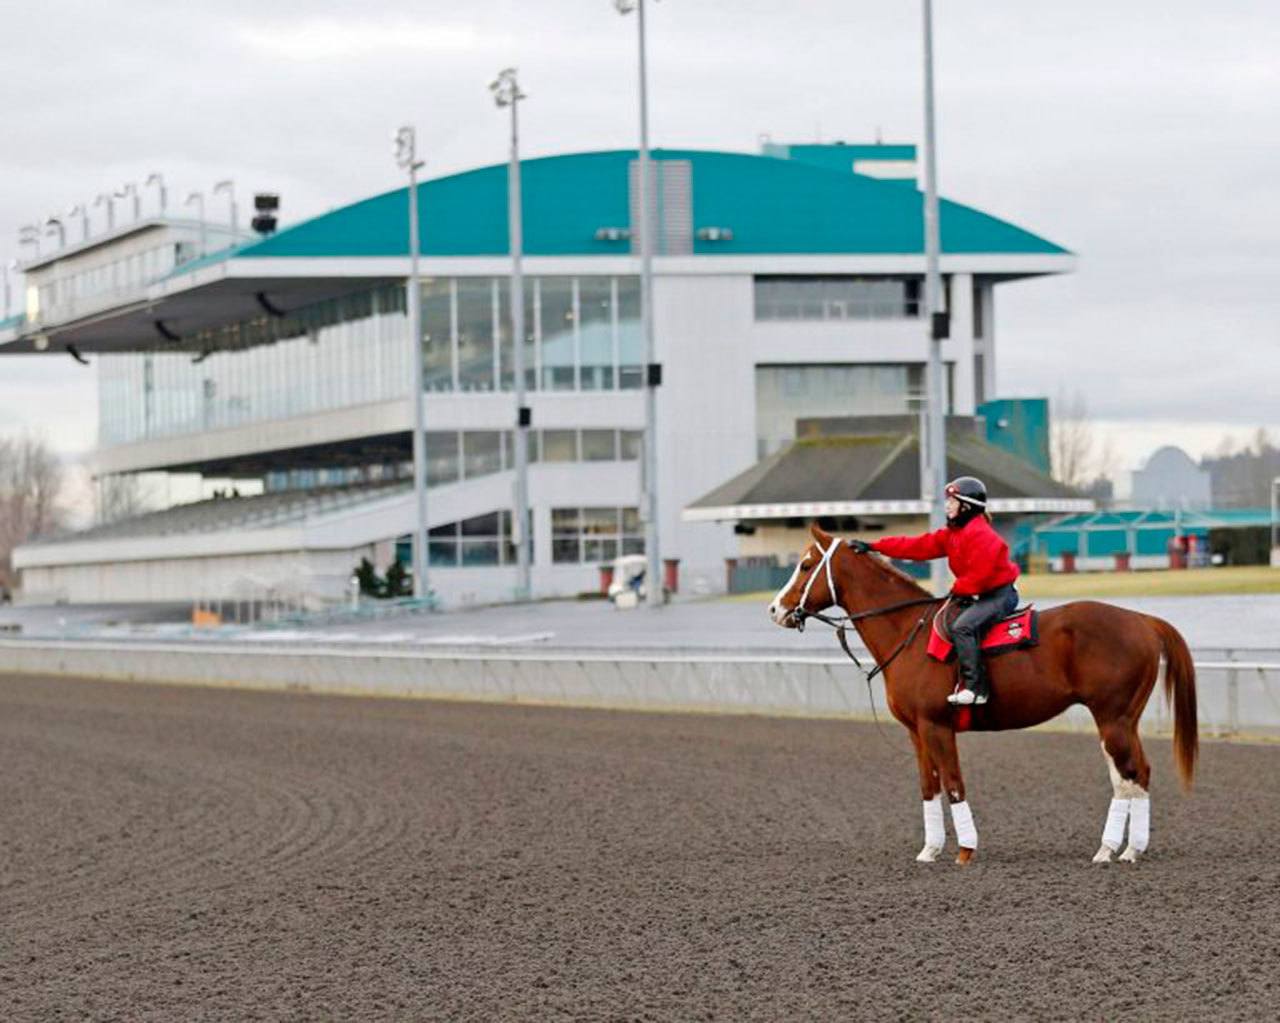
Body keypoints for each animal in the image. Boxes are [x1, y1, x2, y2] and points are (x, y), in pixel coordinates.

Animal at [767, 523, 1198, 865]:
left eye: (805, 565)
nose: (775, 609)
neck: (909, 630)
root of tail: (1142, 620)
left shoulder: (937, 727)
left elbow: (954, 784)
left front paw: (965, 850)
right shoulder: (917, 732)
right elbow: (929, 787)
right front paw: (929, 851)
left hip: (1113, 720)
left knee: (1131, 775)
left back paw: (1117, 850)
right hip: (1121, 722)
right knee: (1133, 776)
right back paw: (1121, 849)